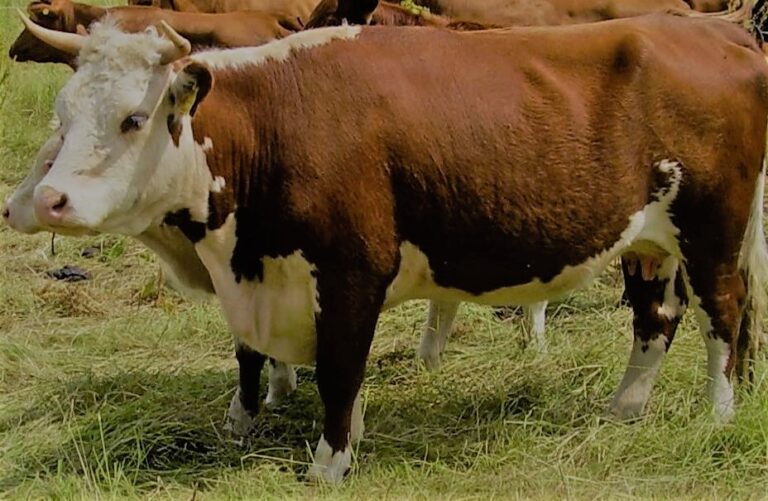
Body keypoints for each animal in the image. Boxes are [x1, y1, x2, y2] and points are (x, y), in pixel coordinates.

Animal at [11, 6, 768, 482]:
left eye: (133, 118)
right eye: (62, 114)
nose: (48, 201)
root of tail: (714, 32)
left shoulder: (351, 270)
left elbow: (340, 369)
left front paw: (330, 461)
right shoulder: (258, 269)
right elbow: (249, 352)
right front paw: (242, 421)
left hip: (713, 230)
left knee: (723, 318)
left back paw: (718, 415)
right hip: (650, 240)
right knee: (654, 320)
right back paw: (623, 409)